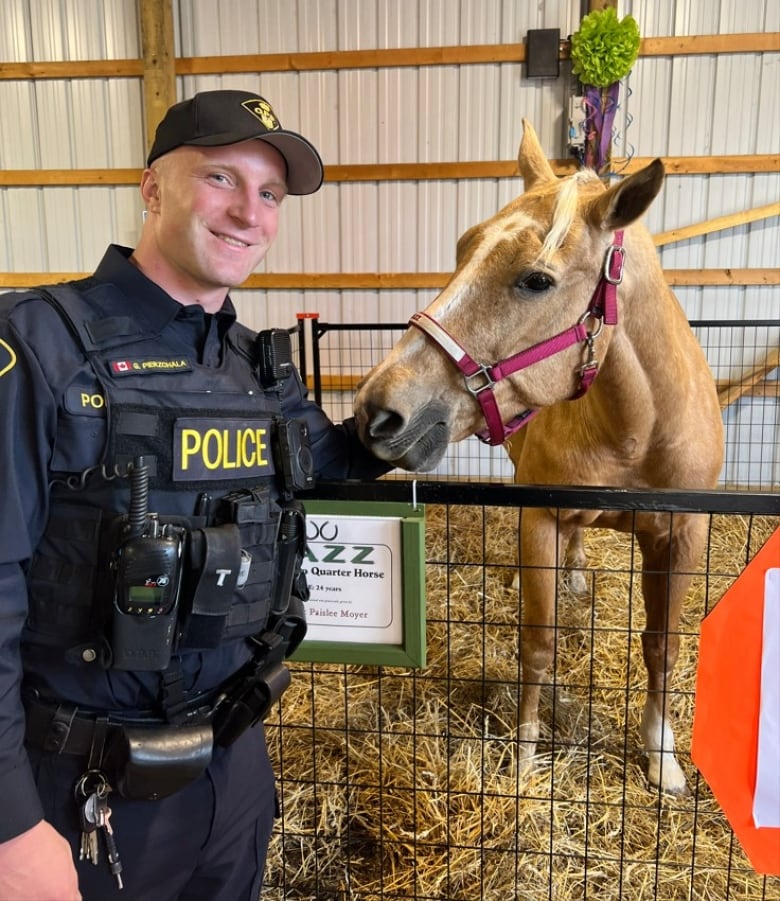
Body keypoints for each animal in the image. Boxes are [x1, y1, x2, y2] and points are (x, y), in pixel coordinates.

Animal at [354, 121, 724, 796]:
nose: (378, 412)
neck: (637, 430)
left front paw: (660, 755)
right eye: (463, 247)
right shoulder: (543, 521)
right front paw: (526, 755)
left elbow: (662, 645)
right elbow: (539, 643)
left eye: (536, 280)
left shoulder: (683, 534)